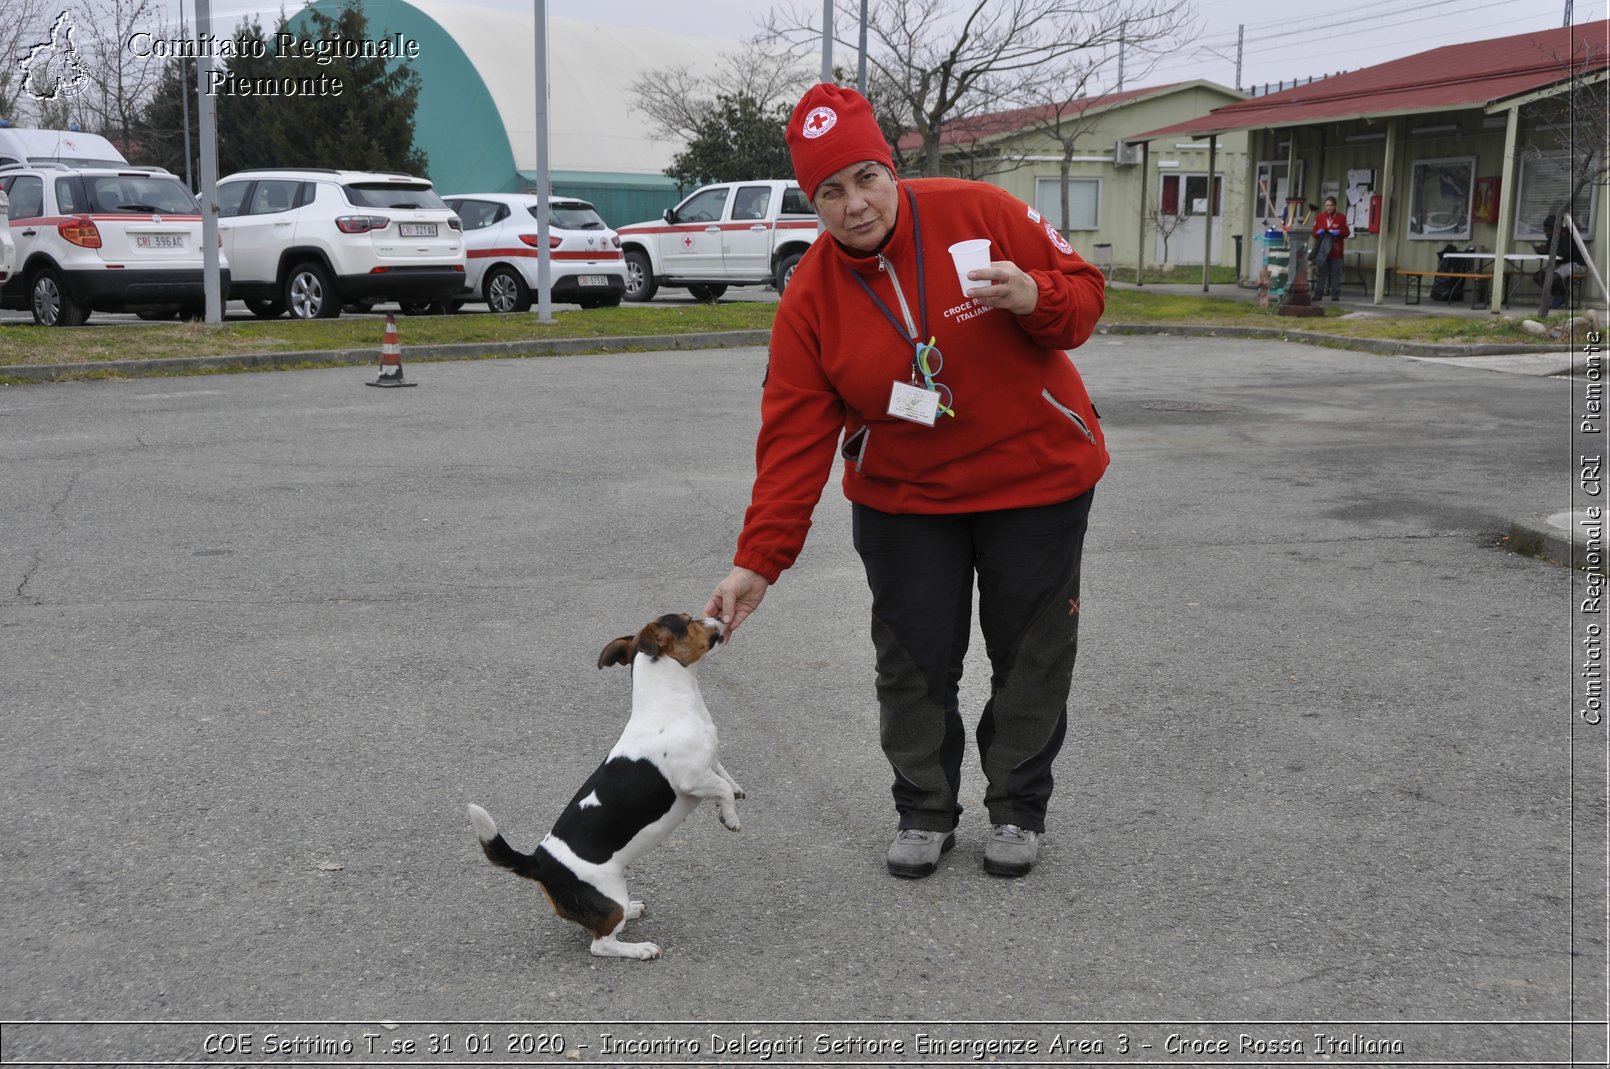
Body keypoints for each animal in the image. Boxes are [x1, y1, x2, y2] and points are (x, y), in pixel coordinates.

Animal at [466, 614, 740, 953]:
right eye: (688, 620)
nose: (719, 617)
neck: (670, 705)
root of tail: (538, 862)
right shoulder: (692, 778)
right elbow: (722, 789)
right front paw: (731, 818)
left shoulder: (709, 764)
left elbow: (725, 776)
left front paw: (734, 795)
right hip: (610, 895)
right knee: (602, 944)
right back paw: (640, 949)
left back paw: (633, 911)